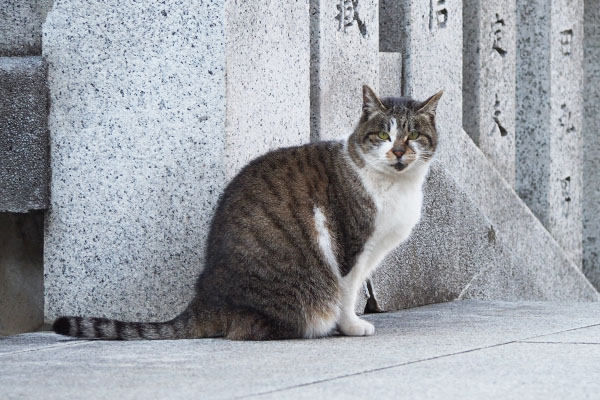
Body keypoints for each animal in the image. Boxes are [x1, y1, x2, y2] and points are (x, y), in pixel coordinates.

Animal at [54, 85, 442, 340]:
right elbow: (347, 293)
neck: (397, 185)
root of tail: (204, 300)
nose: (398, 152)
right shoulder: (352, 248)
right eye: (383, 135)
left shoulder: (371, 253)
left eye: (413, 136)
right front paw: (351, 326)